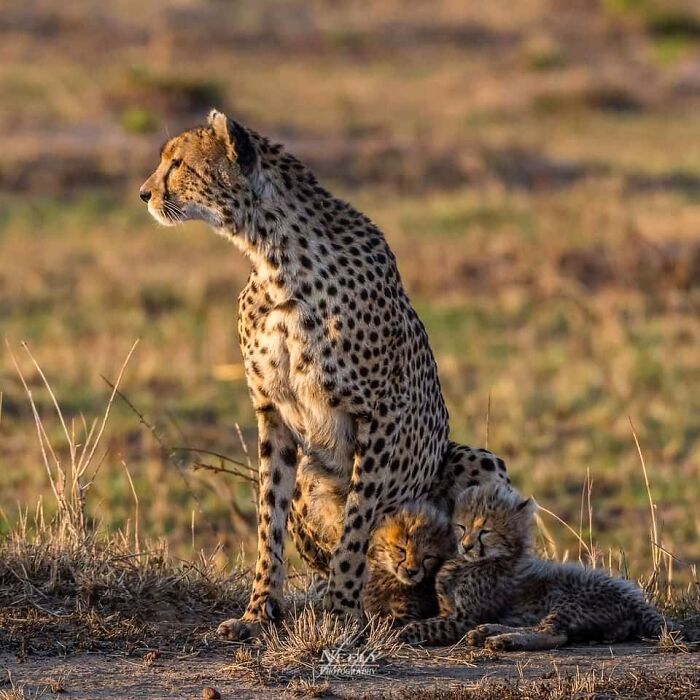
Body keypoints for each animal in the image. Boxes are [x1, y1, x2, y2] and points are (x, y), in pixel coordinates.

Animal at [139, 109, 510, 641]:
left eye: (179, 163)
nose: (144, 193)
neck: (272, 256)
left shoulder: (380, 415)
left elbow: (358, 520)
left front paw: (341, 610)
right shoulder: (272, 413)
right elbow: (267, 518)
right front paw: (258, 612)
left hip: (479, 460)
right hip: (308, 484)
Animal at [400, 483, 683, 649]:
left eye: (485, 531)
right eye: (461, 526)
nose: (466, 546)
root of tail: (635, 597)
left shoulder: (464, 618)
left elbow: (428, 625)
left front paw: (400, 633)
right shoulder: (451, 611)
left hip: (569, 598)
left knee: (553, 634)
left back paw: (501, 639)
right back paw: (488, 632)